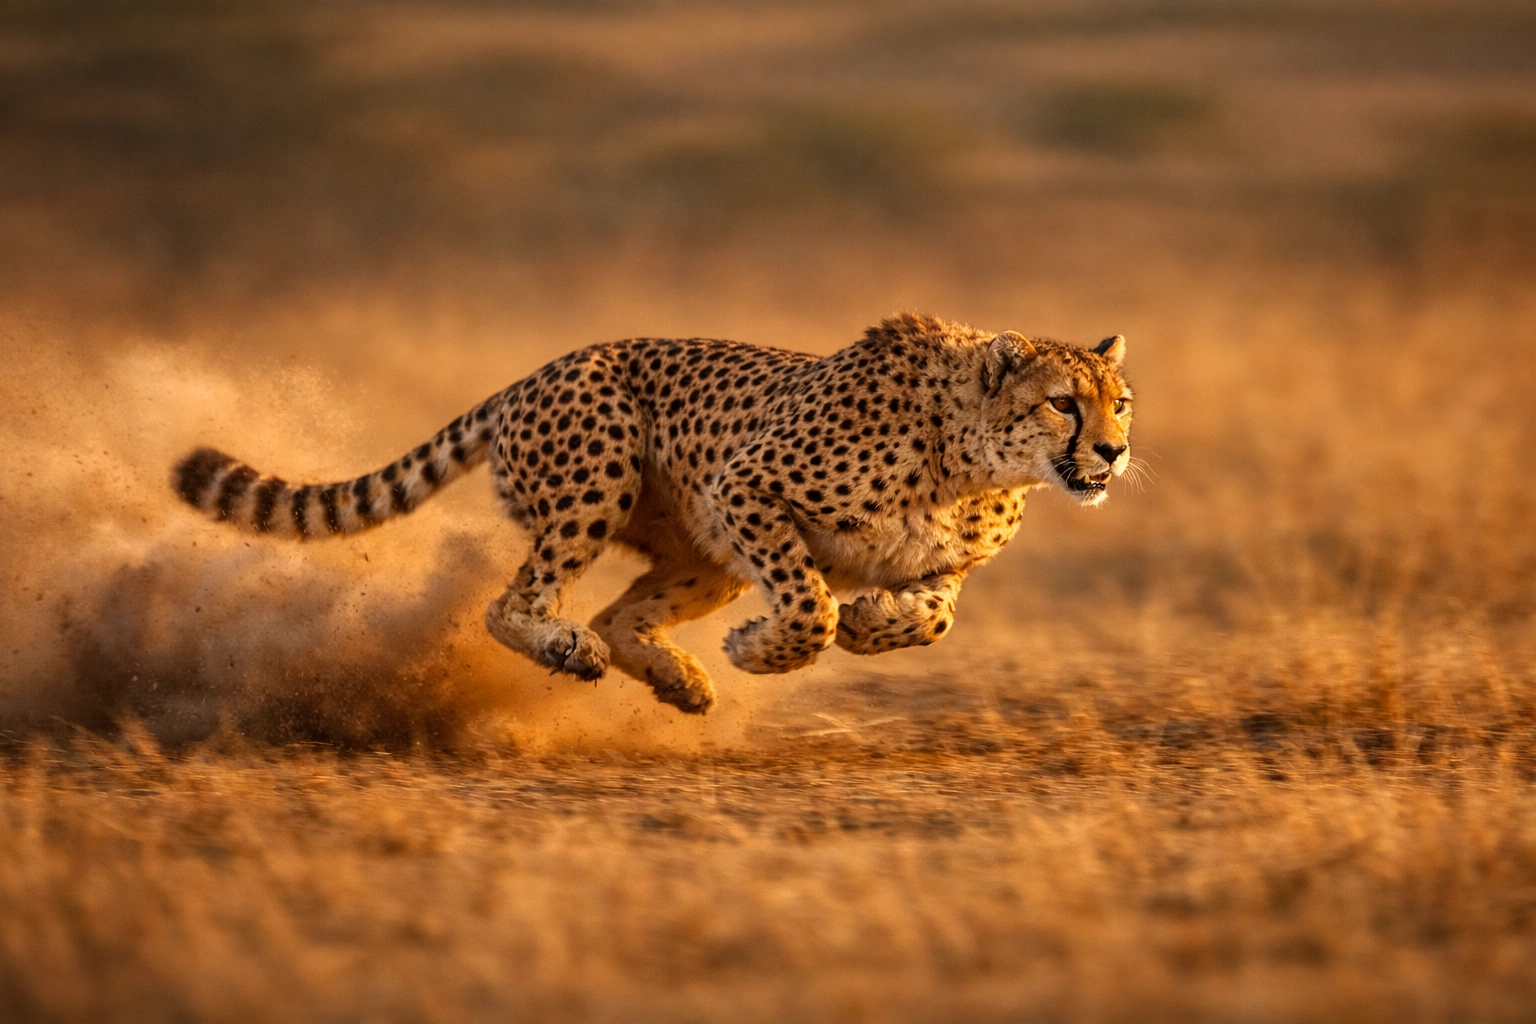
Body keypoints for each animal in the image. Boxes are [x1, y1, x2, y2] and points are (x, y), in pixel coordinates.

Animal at [172, 312, 1134, 715]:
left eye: (1121, 402)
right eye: (1063, 403)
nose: (1115, 453)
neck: (968, 461)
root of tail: (536, 371)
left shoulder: (944, 566)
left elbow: (929, 620)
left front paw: (871, 624)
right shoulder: (745, 486)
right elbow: (809, 606)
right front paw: (765, 649)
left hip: (702, 555)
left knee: (618, 611)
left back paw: (678, 678)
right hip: (603, 471)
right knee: (514, 603)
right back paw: (568, 647)